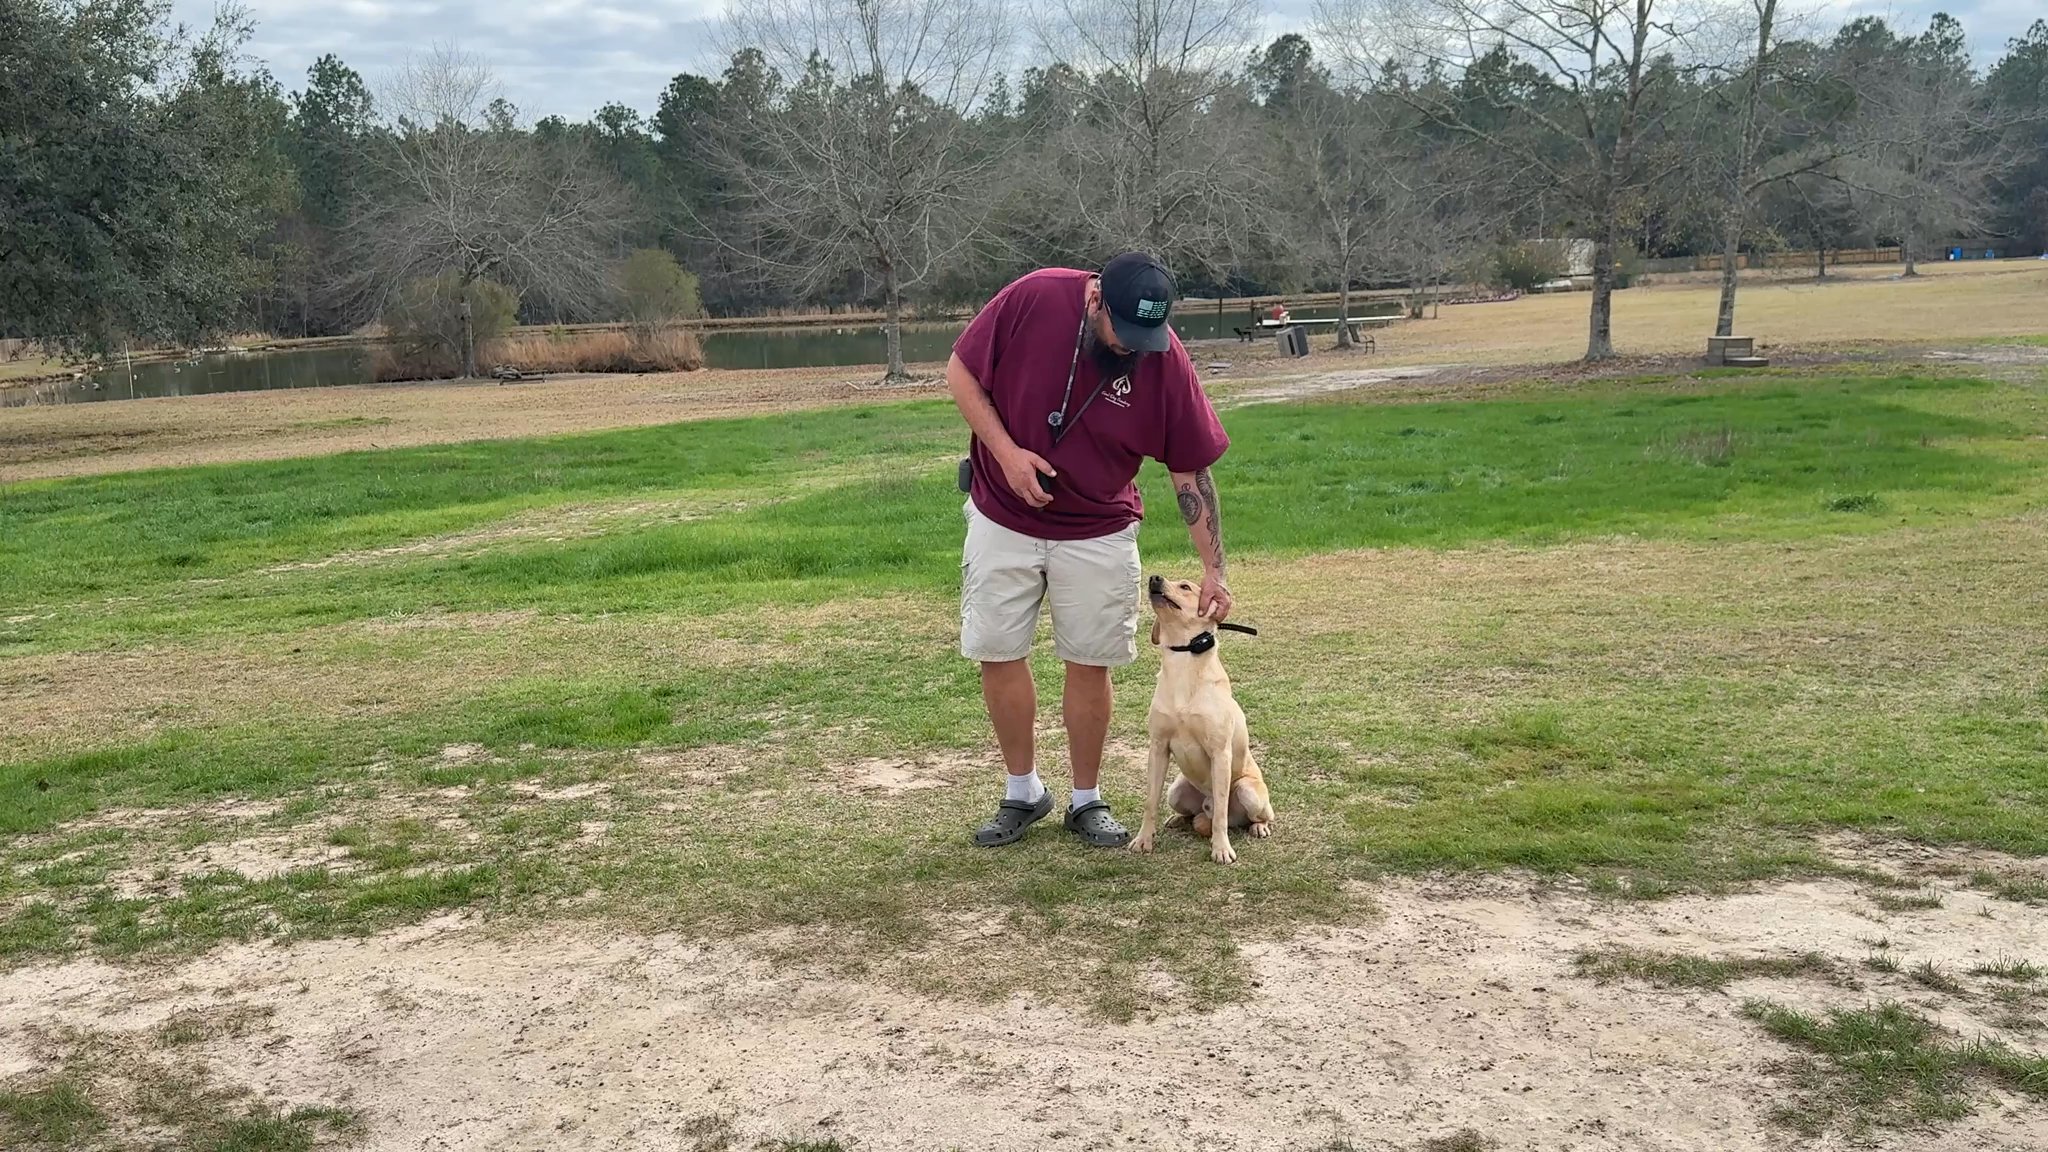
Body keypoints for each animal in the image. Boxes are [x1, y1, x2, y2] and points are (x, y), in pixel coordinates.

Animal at [1130, 574, 1274, 864]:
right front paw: (1143, 840)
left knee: (1254, 815)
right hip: (1176, 791)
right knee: (1189, 810)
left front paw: (1221, 849)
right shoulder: (1158, 748)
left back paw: (1259, 827)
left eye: (1185, 586)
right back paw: (1177, 819)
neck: (1183, 661)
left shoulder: (1220, 753)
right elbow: (1150, 802)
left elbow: (1219, 814)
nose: (1154, 577)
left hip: (1248, 791)